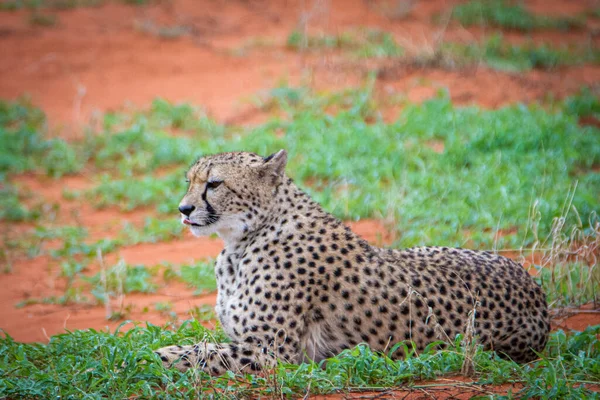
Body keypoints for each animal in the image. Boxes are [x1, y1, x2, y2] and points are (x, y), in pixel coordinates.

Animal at [157, 150, 552, 376]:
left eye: (214, 184)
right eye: (190, 181)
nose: (184, 209)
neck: (244, 240)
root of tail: (537, 293)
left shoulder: (273, 352)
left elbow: (199, 352)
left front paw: (158, 354)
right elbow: (201, 343)